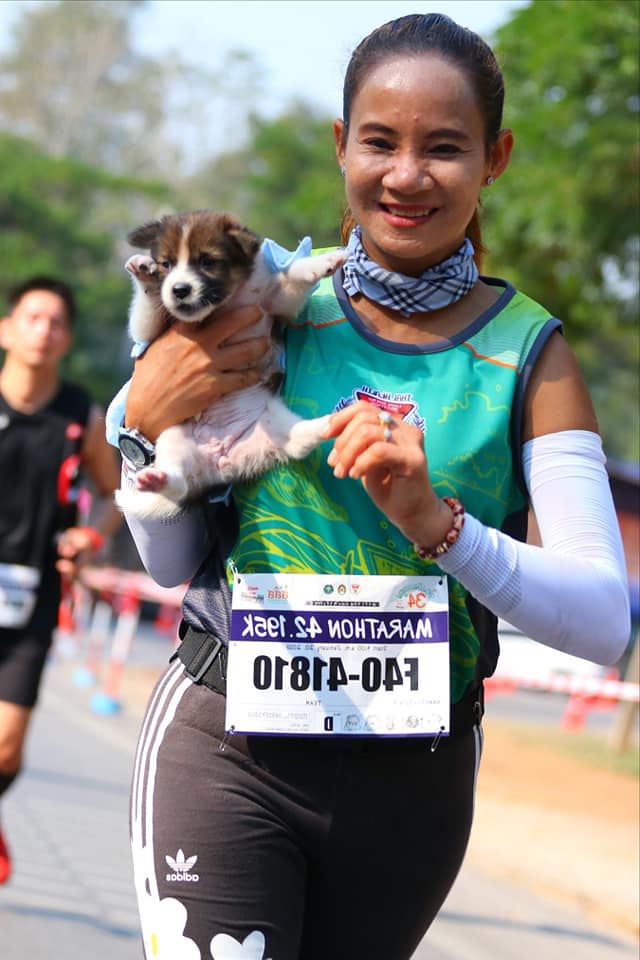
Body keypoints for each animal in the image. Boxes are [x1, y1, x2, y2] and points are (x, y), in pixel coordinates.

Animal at [116, 210, 347, 518]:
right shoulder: (151, 331)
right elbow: (147, 314)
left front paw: (324, 261)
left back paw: (328, 423)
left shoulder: (277, 301)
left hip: (273, 419)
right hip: (173, 439)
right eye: (166, 264)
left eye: (207, 262)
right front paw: (145, 274)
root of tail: (223, 463)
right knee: (178, 485)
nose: (179, 290)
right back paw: (157, 480)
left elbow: (294, 273)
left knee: (298, 441)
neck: (224, 304)